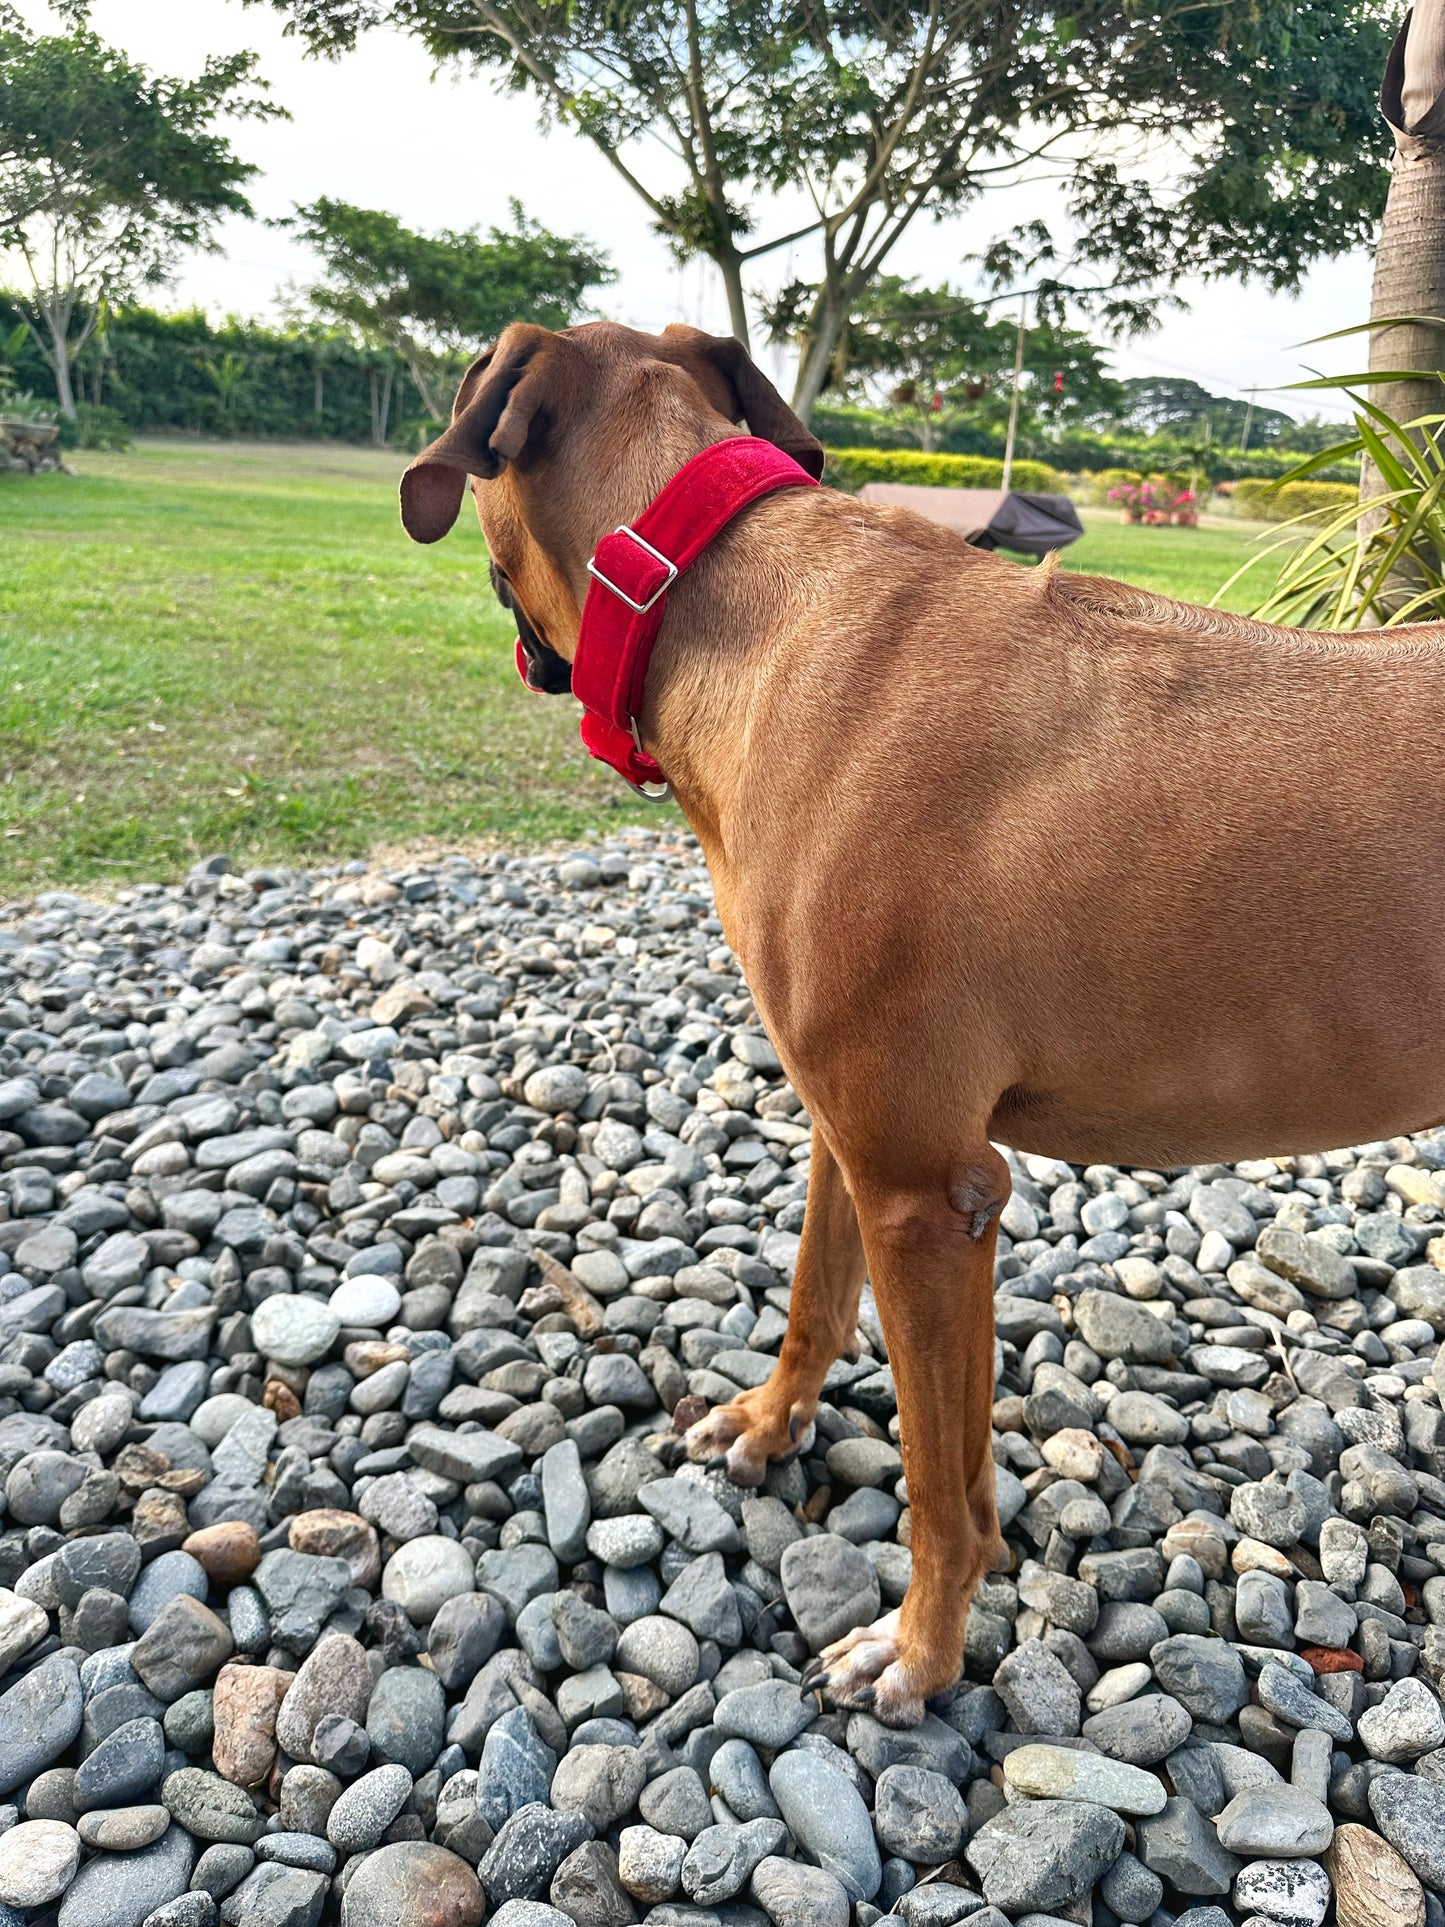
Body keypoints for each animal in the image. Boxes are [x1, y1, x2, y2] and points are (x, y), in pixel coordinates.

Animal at [402, 319, 1445, 1734]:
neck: (732, 597)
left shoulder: (921, 1188)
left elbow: (934, 1481)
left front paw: (922, 1648)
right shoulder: (872, 1144)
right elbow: (825, 1306)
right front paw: (772, 1423)